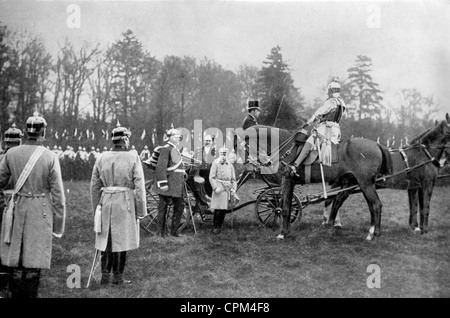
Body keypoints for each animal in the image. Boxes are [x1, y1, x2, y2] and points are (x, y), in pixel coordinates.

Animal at [280, 113, 448, 240]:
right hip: (361, 184)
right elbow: (422, 207)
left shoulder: (417, 186)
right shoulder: (423, 185)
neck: (422, 153)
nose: (445, 162)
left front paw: (419, 229)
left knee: (358, 204)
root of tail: (377, 146)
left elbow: (418, 207)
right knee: (363, 204)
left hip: (359, 184)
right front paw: (422, 230)